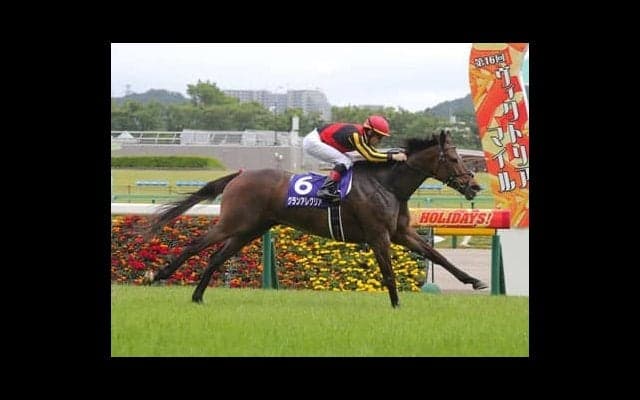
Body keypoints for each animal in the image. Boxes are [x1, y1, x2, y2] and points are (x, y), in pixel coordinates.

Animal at [142, 130, 485, 308]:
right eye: (453, 158)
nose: (475, 186)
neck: (388, 184)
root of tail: (239, 175)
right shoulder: (378, 235)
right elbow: (388, 273)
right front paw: (397, 305)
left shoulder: (401, 232)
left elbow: (437, 256)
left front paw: (475, 280)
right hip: (233, 223)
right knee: (194, 246)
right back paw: (158, 275)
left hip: (249, 229)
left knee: (215, 257)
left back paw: (198, 296)